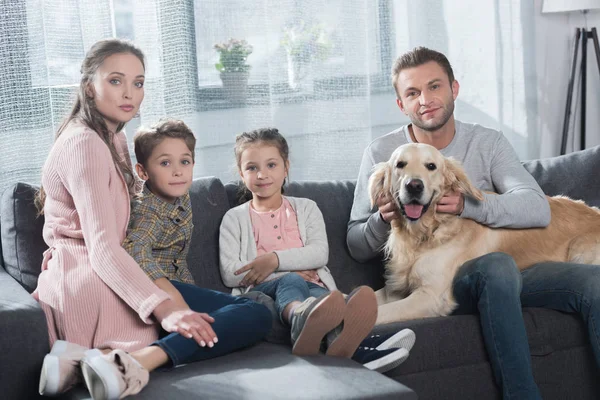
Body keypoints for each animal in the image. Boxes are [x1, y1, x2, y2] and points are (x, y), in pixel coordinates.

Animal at [370, 144, 600, 324]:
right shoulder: (394, 289)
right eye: (400, 164)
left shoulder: (431, 296)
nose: (414, 186)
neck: (425, 233)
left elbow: (380, 314)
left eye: (431, 166)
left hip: (580, 249)